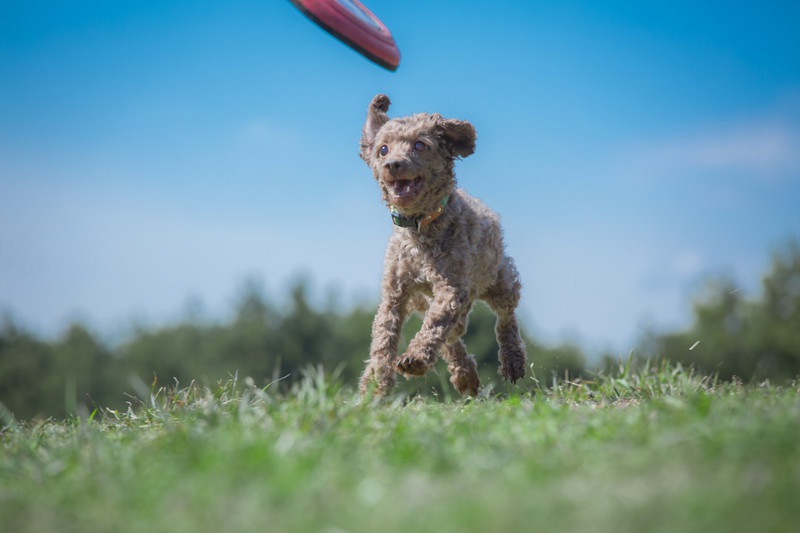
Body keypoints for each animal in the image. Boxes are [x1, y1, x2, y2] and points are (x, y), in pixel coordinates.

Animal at [360, 94, 528, 394]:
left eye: (419, 145)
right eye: (382, 150)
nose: (393, 164)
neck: (420, 226)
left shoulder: (452, 287)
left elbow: (436, 322)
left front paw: (415, 358)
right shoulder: (395, 294)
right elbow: (384, 339)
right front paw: (375, 387)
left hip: (501, 279)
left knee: (505, 318)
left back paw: (512, 360)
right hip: (425, 298)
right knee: (454, 333)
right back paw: (465, 374)